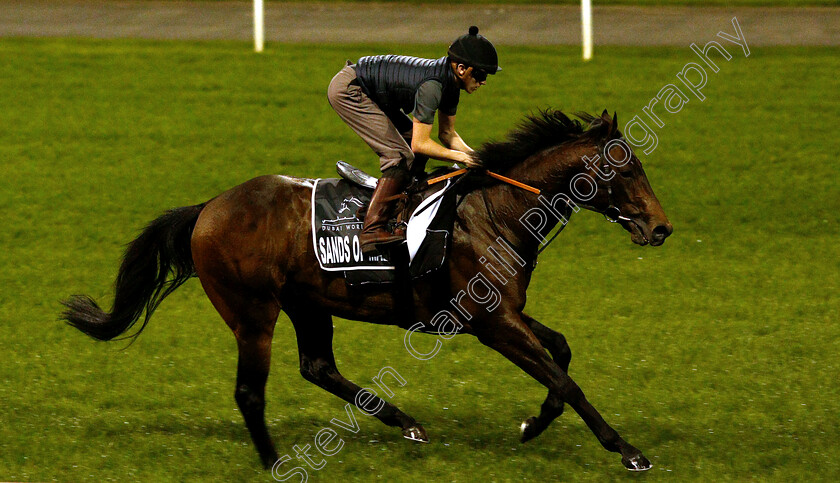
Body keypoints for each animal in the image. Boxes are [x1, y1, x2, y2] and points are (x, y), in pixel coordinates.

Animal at [62, 108, 672, 472]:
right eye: (625, 169)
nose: (661, 228)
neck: (494, 211)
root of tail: (208, 208)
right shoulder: (491, 322)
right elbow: (564, 378)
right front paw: (627, 451)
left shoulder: (503, 313)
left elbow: (561, 352)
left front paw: (532, 425)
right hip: (253, 311)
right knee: (250, 391)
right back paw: (275, 462)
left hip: (307, 304)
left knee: (317, 367)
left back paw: (405, 423)